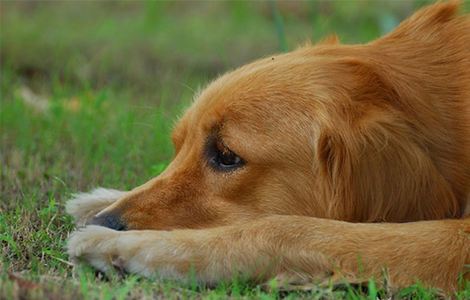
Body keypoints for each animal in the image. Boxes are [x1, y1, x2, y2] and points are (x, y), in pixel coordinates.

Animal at [66, 1, 470, 292]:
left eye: (227, 156)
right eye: (178, 145)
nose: (106, 222)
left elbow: (290, 229)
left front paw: (125, 246)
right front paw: (97, 201)